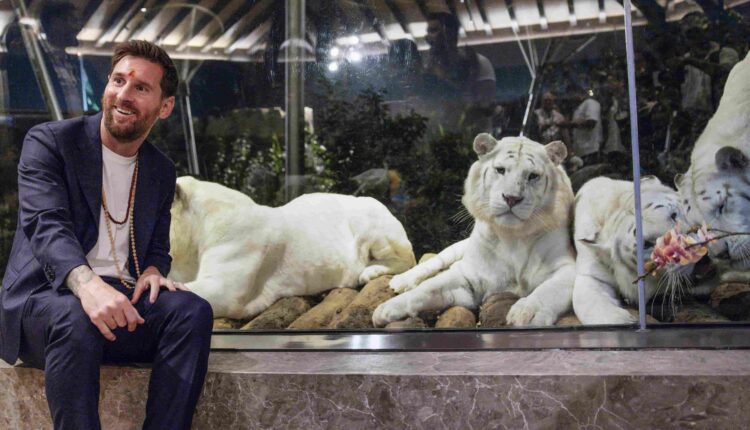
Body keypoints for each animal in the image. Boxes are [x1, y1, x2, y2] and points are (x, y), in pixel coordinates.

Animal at [372, 134, 577, 327]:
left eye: (533, 176)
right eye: (500, 170)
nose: (511, 198)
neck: (513, 236)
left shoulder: (570, 268)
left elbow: (549, 289)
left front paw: (527, 313)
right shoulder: (470, 276)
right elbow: (429, 288)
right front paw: (385, 309)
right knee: (435, 262)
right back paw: (401, 280)